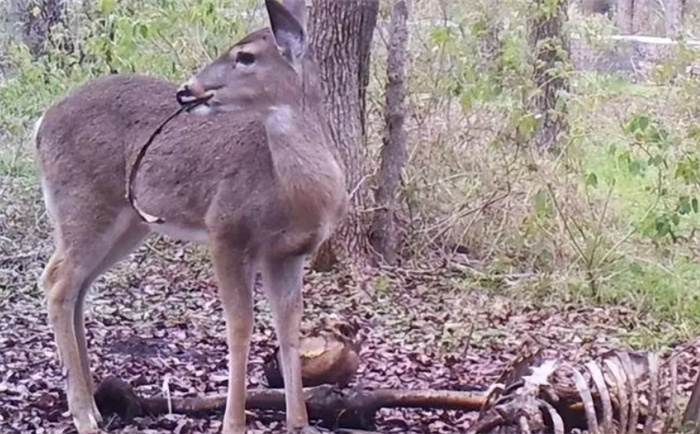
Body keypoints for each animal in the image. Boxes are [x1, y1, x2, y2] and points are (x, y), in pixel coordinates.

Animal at [35, 1, 348, 432]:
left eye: (245, 56)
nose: (188, 89)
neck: (295, 192)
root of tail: (40, 125)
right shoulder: (226, 229)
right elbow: (240, 325)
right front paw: (233, 423)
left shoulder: (288, 253)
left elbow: (289, 327)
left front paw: (299, 422)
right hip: (83, 203)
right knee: (56, 280)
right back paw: (83, 414)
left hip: (128, 223)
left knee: (77, 286)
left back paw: (94, 405)